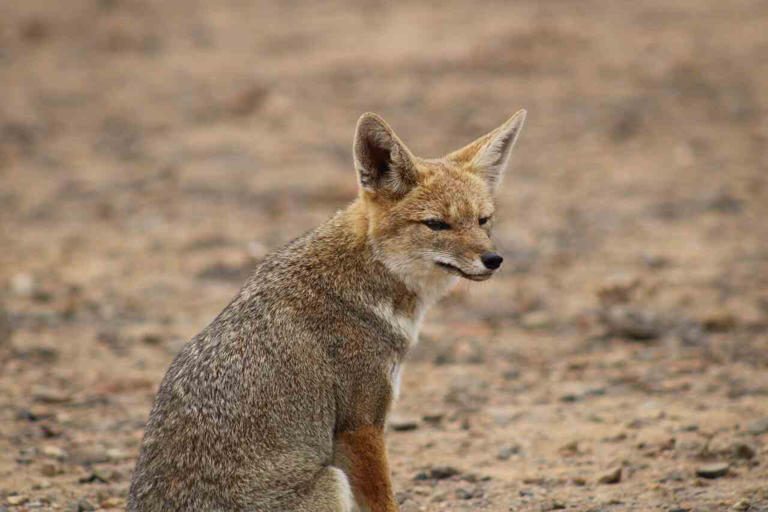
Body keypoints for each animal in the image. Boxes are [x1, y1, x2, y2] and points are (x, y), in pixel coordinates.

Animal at [129, 110, 528, 510]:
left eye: (483, 220)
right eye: (436, 224)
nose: (494, 259)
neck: (362, 277)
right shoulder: (360, 423)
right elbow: (384, 502)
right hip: (333, 480)